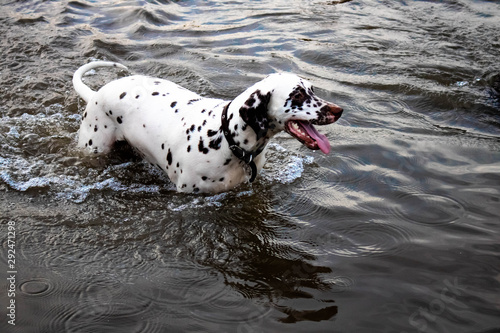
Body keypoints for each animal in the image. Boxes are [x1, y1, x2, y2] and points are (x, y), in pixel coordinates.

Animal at [72, 61, 342, 193]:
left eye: (312, 89)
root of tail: (96, 94)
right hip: (94, 147)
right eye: (297, 95)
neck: (226, 139)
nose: (339, 110)